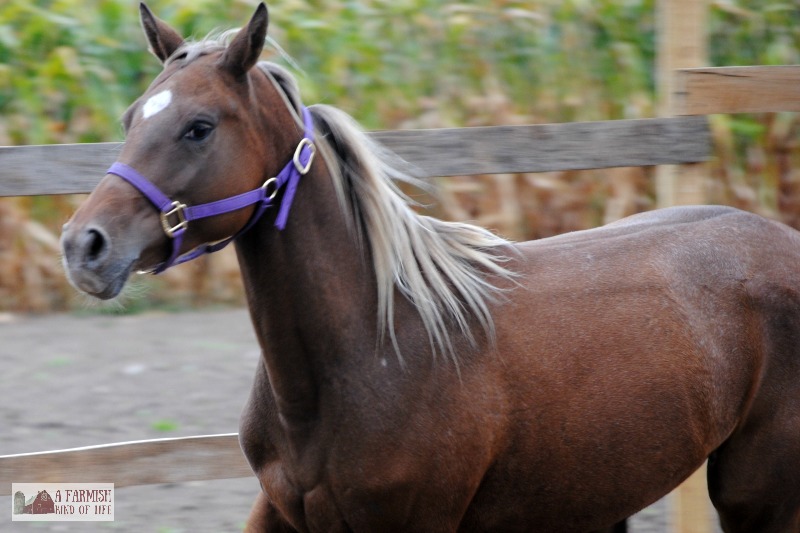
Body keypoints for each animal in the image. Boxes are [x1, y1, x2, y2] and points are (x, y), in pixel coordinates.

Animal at [61, 2, 800, 528]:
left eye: (200, 127)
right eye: (131, 117)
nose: (82, 245)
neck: (370, 348)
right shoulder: (278, 511)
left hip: (756, 494)